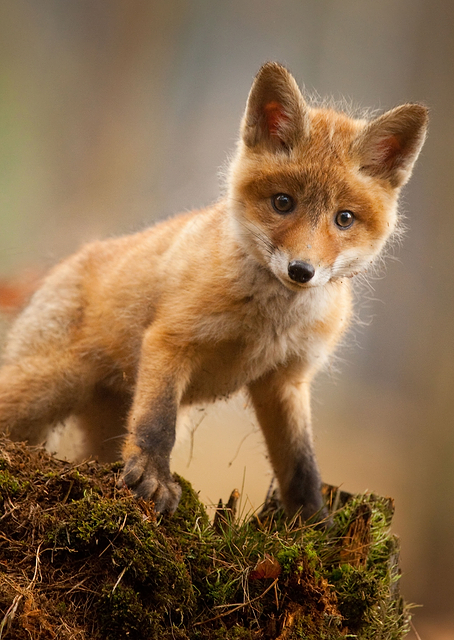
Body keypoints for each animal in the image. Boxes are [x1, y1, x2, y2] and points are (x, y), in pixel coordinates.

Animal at [0, 63, 427, 519]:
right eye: (283, 202)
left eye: (344, 218)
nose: (301, 270)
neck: (269, 323)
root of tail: (65, 263)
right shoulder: (170, 341)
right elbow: (157, 424)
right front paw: (153, 478)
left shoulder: (285, 380)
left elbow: (301, 464)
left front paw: (314, 522)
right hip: (48, 384)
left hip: (99, 422)